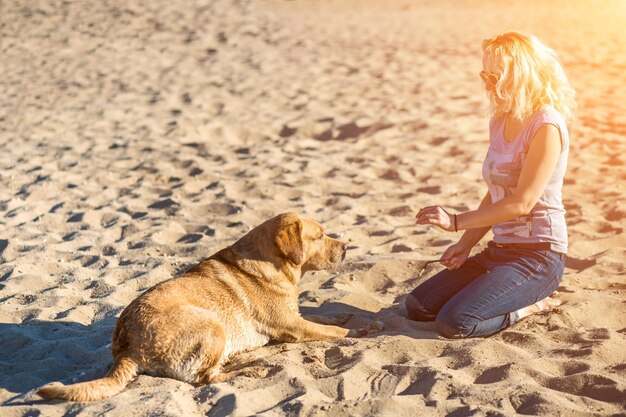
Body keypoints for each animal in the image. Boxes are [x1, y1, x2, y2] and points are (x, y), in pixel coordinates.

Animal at [39, 211, 382, 400]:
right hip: (211, 323)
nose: (347, 248)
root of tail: (125, 349)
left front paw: (365, 322)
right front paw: (359, 331)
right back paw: (250, 369)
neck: (273, 262)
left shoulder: (298, 317)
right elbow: (334, 330)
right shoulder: (292, 326)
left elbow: (334, 316)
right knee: (205, 378)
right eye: (320, 236)